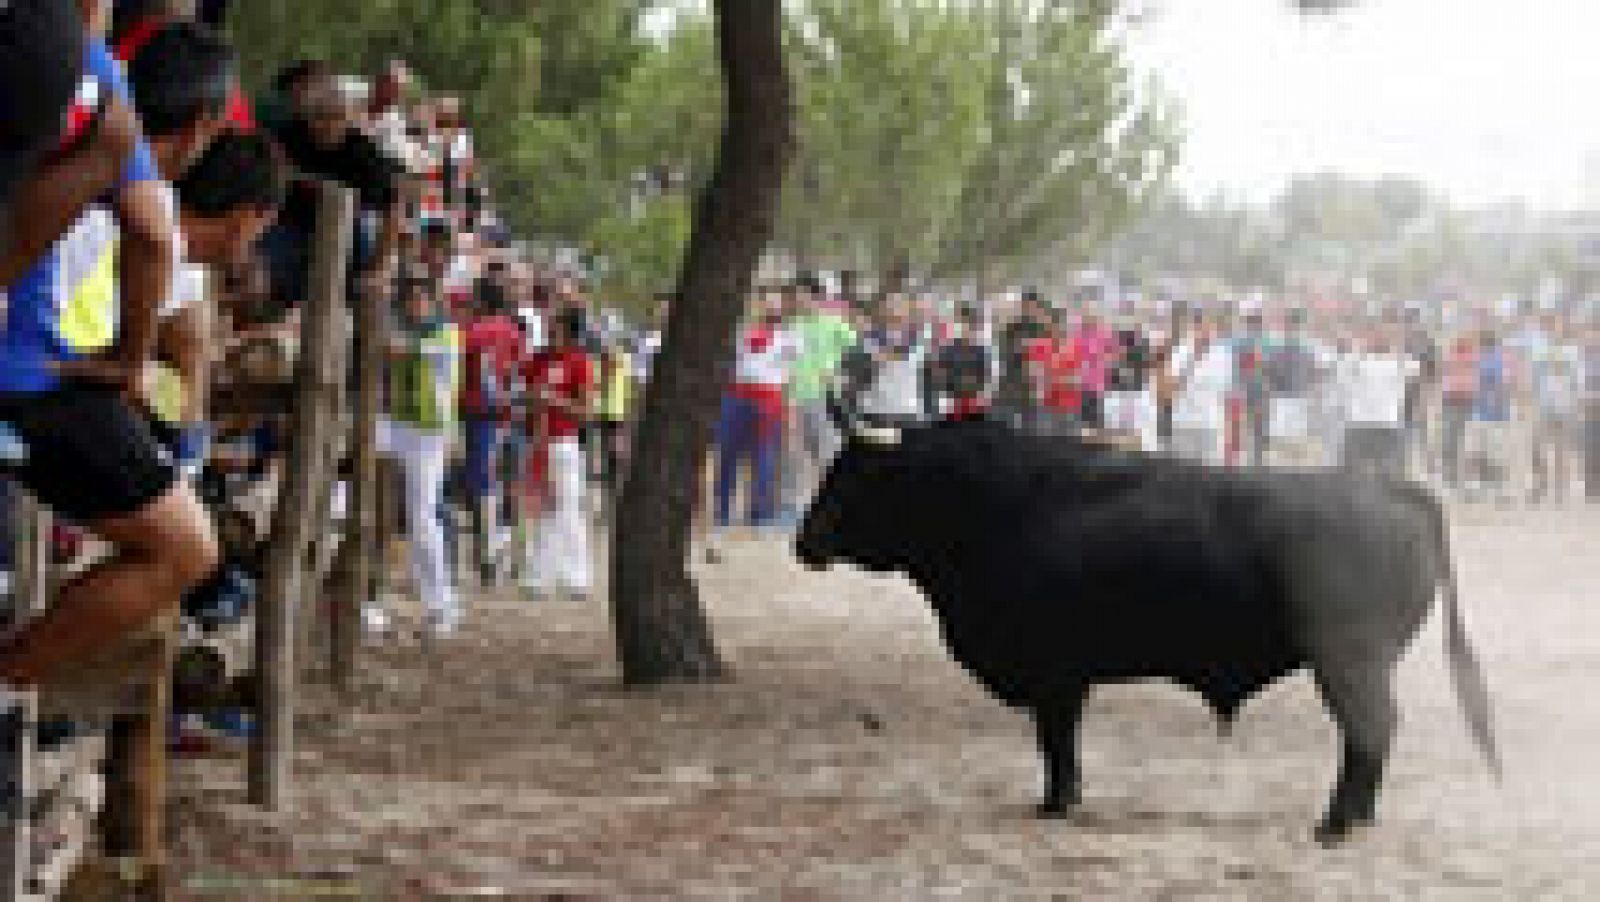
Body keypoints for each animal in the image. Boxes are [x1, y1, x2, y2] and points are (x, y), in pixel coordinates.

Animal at [796, 419, 1497, 844]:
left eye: (852, 477)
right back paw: (1359, 819)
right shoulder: (1064, 677)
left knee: (1371, 728)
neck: (985, 502)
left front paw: (1056, 803)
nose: (803, 541)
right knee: (1371, 735)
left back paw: (1335, 824)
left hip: (1348, 662)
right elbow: (1062, 743)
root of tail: (1390, 487)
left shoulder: (1053, 675)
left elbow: (1056, 743)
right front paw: (1066, 799)